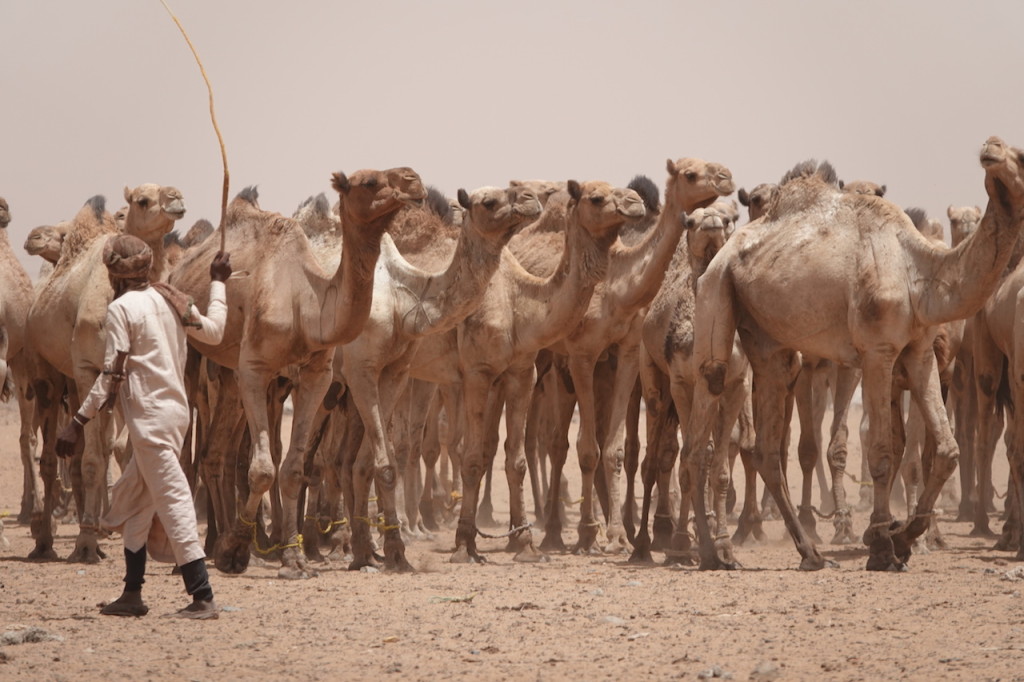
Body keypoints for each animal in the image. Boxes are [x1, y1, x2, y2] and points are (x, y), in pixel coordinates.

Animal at [169, 166, 425, 577]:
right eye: (369, 182)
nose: (413, 178)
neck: (304, 304)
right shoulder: (254, 369)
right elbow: (262, 469)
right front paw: (234, 550)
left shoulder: (317, 375)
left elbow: (291, 468)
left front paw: (293, 556)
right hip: (191, 351)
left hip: (227, 369)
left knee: (215, 451)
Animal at [450, 178, 643, 561]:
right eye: (596, 198)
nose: (636, 202)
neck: (517, 303)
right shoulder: (477, 372)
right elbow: (473, 456)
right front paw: (464, 544)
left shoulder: (521, 372)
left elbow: (515, 460)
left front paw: (525, 544)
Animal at [679, 134, 1024, 569]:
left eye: (1020, 155)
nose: (991, 148)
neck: (918, 272)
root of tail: (720, 256)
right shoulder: (877, 350)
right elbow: (881, 452)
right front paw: (881, 545)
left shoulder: (920, 351)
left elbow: (947, 450)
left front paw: (904, 538)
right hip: (717, 290)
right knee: (704, 417)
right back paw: (715, 554)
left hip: (769, 342)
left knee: (768, 449)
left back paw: (810, 552)